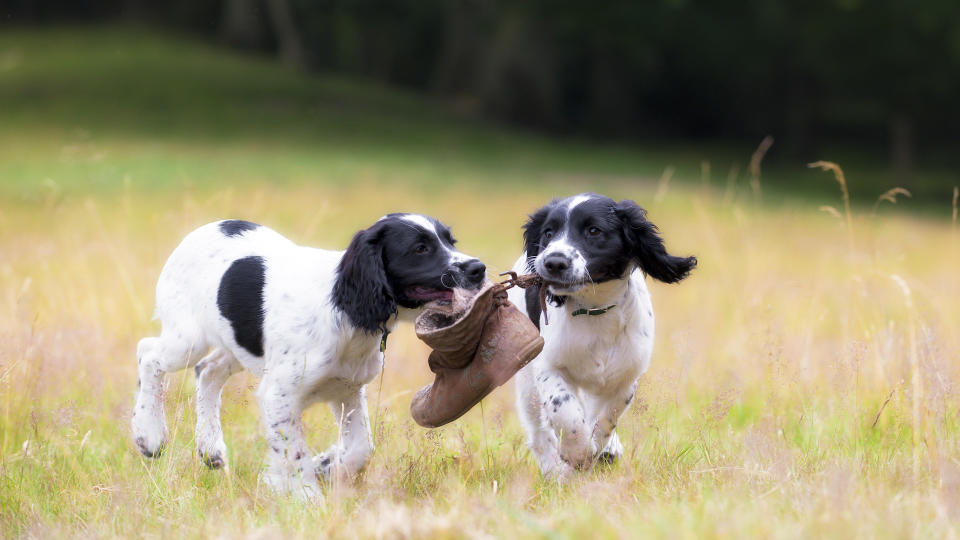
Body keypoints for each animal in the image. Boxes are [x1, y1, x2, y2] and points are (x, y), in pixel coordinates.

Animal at [131, 214, 484, 498]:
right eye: (420, 248)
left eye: (450, 241)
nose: (478, 269)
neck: (343, 310)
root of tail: (203, 230)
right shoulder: (280, 395)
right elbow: (294, 453)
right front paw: (306, 496)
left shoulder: (347, 390)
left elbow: (360, 449)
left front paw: (325, 467)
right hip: (188, 339)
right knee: (148, 353)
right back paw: (149, 434)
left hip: (237, 343)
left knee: (208, 370)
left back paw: (210, 448)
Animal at [502, 193, 696, 476]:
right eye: (549, 232)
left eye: (594, 231)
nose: (554, 262)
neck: (594, 310)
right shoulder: (549, 367)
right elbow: (567, 412)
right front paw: (578, 453)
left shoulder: (624, 378)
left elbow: (607, 417)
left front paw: (601, 448)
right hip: (528, 385)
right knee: (539, 433)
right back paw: (556, 473)